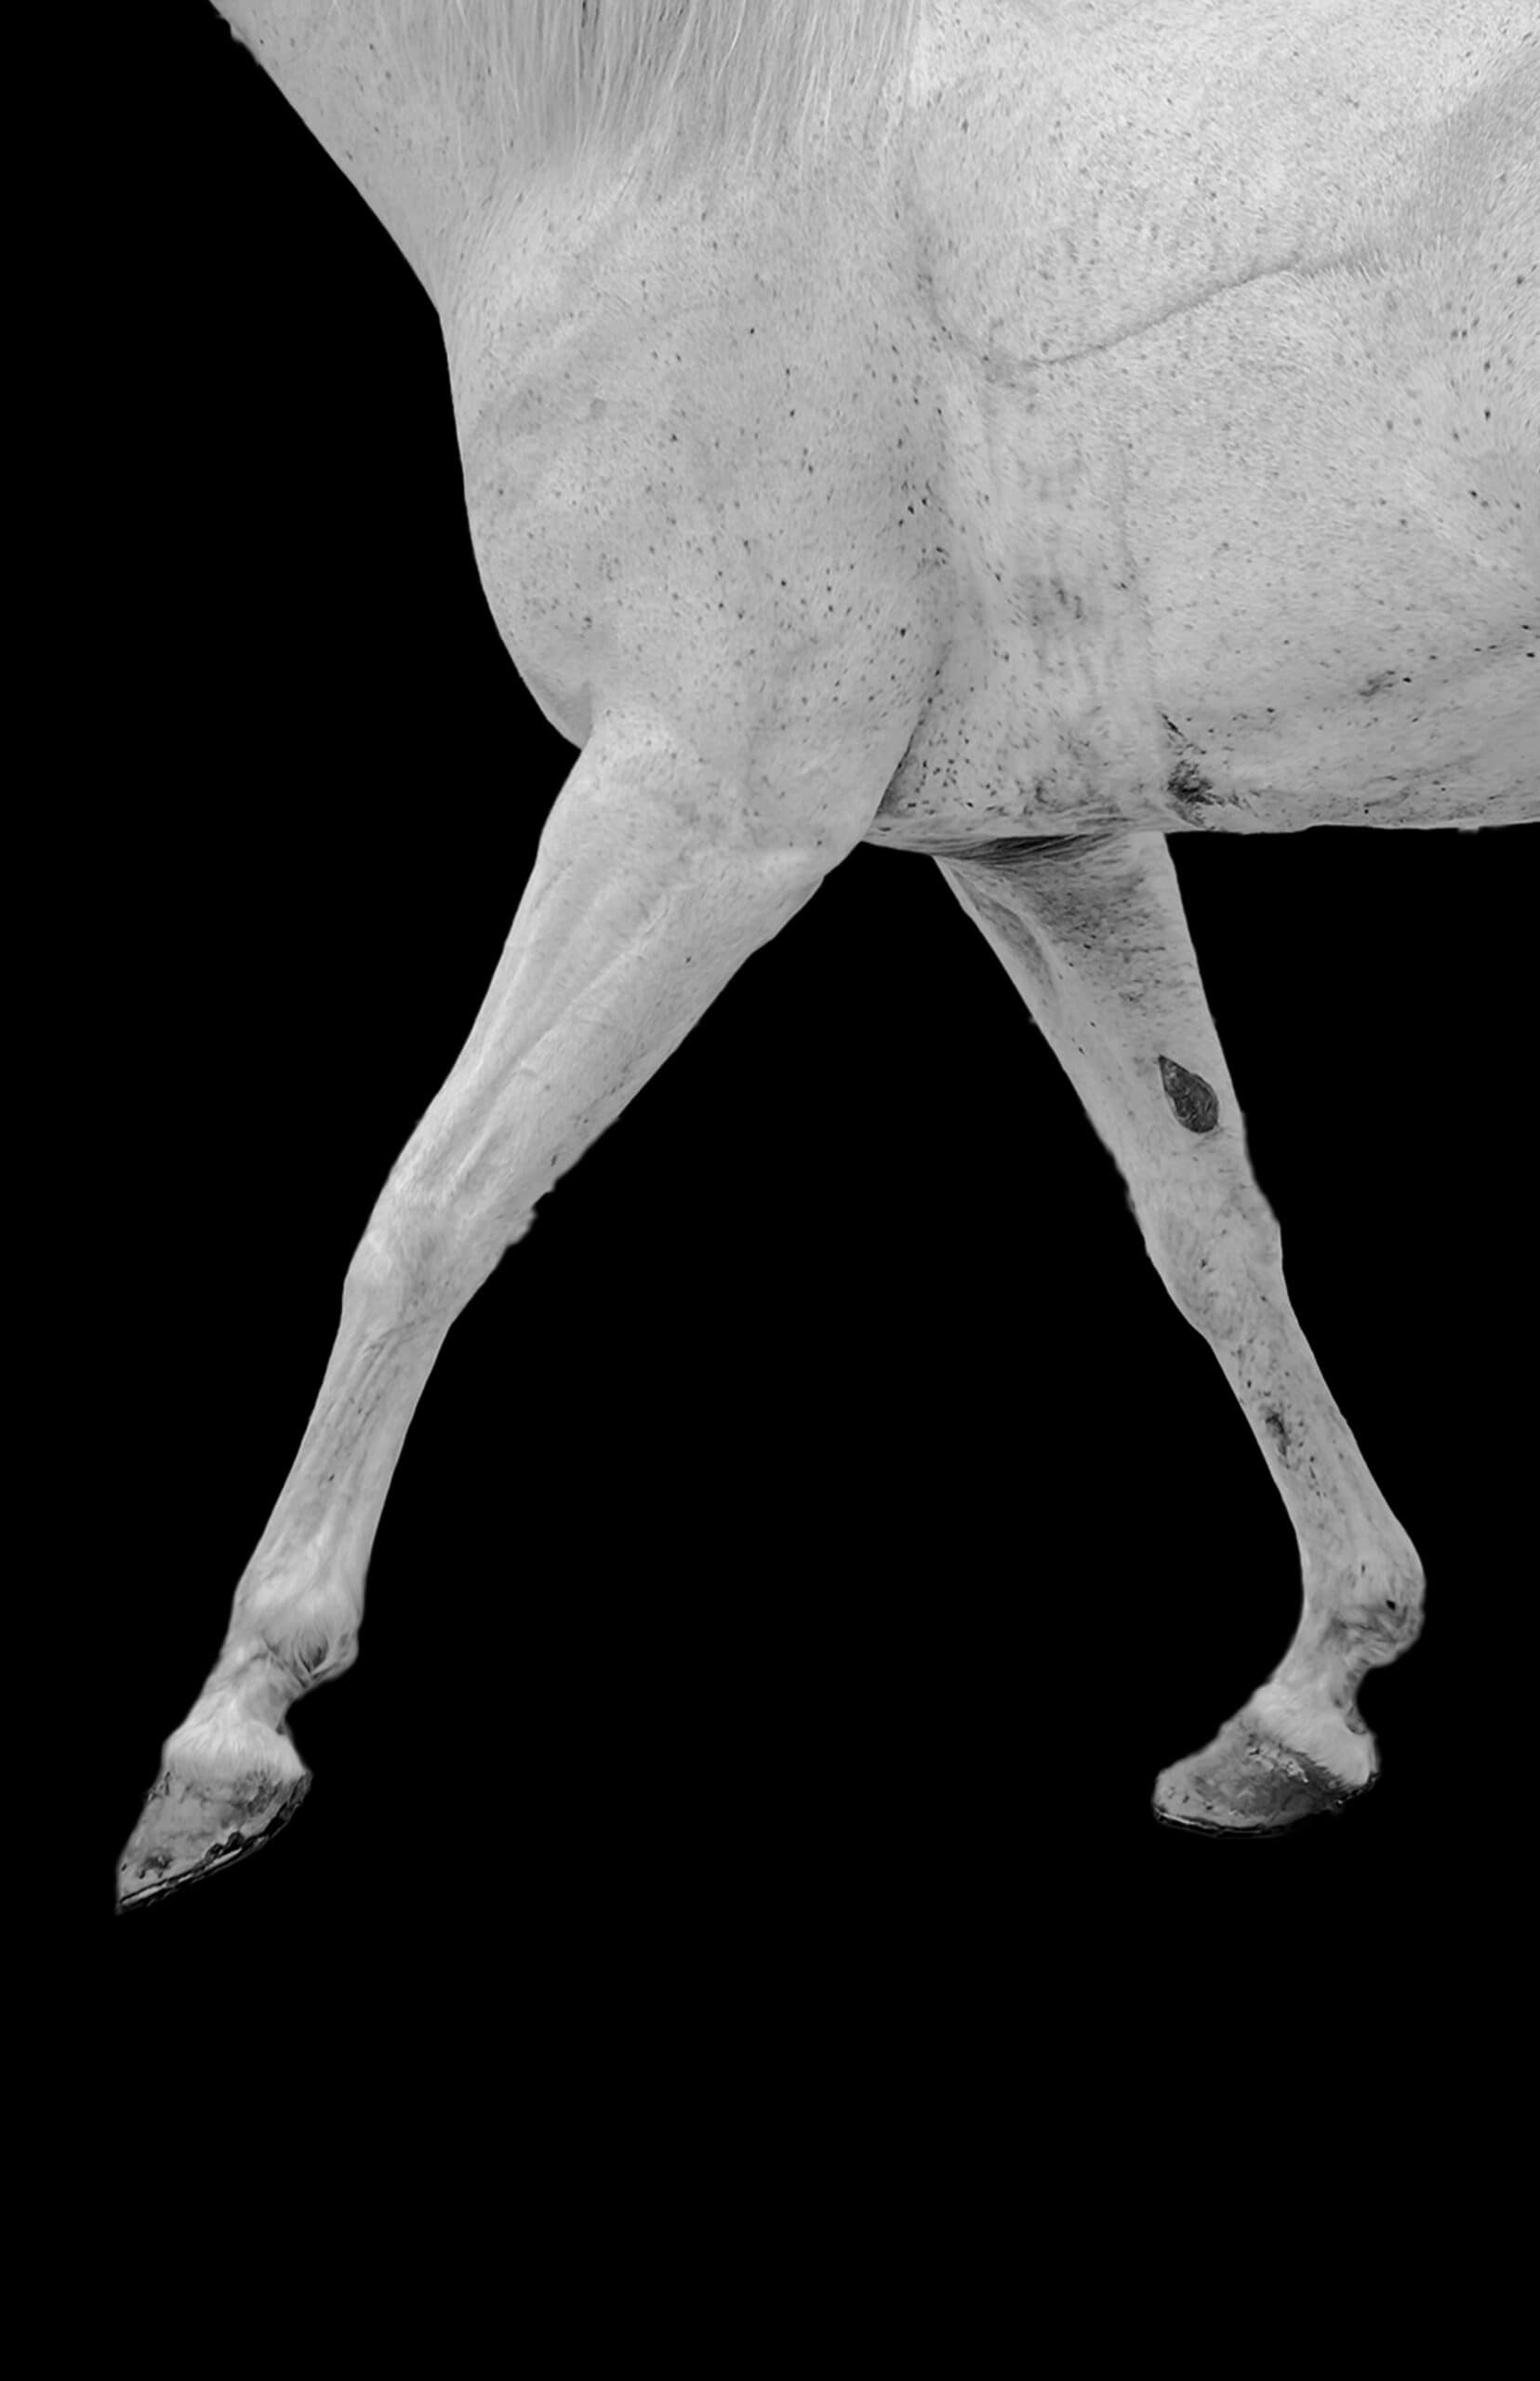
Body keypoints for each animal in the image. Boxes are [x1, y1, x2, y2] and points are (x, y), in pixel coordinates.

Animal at [118, 0, 1536, 1898]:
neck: (695, 124)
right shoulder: (1041, 842)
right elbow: (1210, 1229)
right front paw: (1309, 1702)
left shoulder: (701, 802)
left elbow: (433, 1211)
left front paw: (230, 1737)